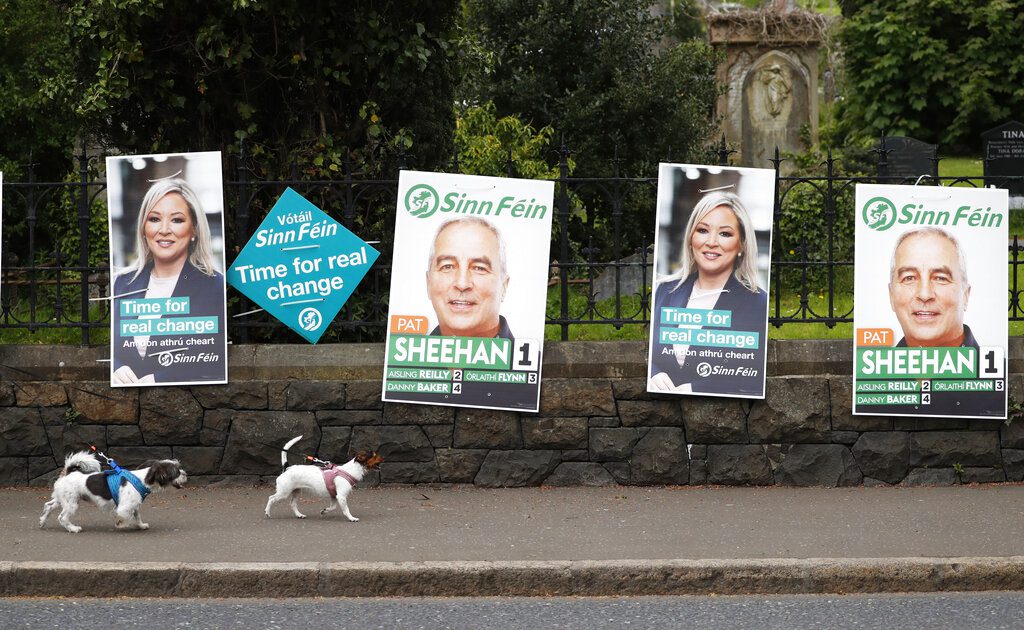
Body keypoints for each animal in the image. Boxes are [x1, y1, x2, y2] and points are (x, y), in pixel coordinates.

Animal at [39, 450, 188, 536]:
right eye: (176, 472)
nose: (185, 474)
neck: (141, 479)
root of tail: (68, 472)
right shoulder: (124, 507)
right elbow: (127, 516)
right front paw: (121, 523)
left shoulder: (134, 505)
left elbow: (137, 516)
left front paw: (140, 525)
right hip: (71, 503)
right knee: (62, 517)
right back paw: (73, 529)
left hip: (62, 499)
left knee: (48, 505)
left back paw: (42, 521)